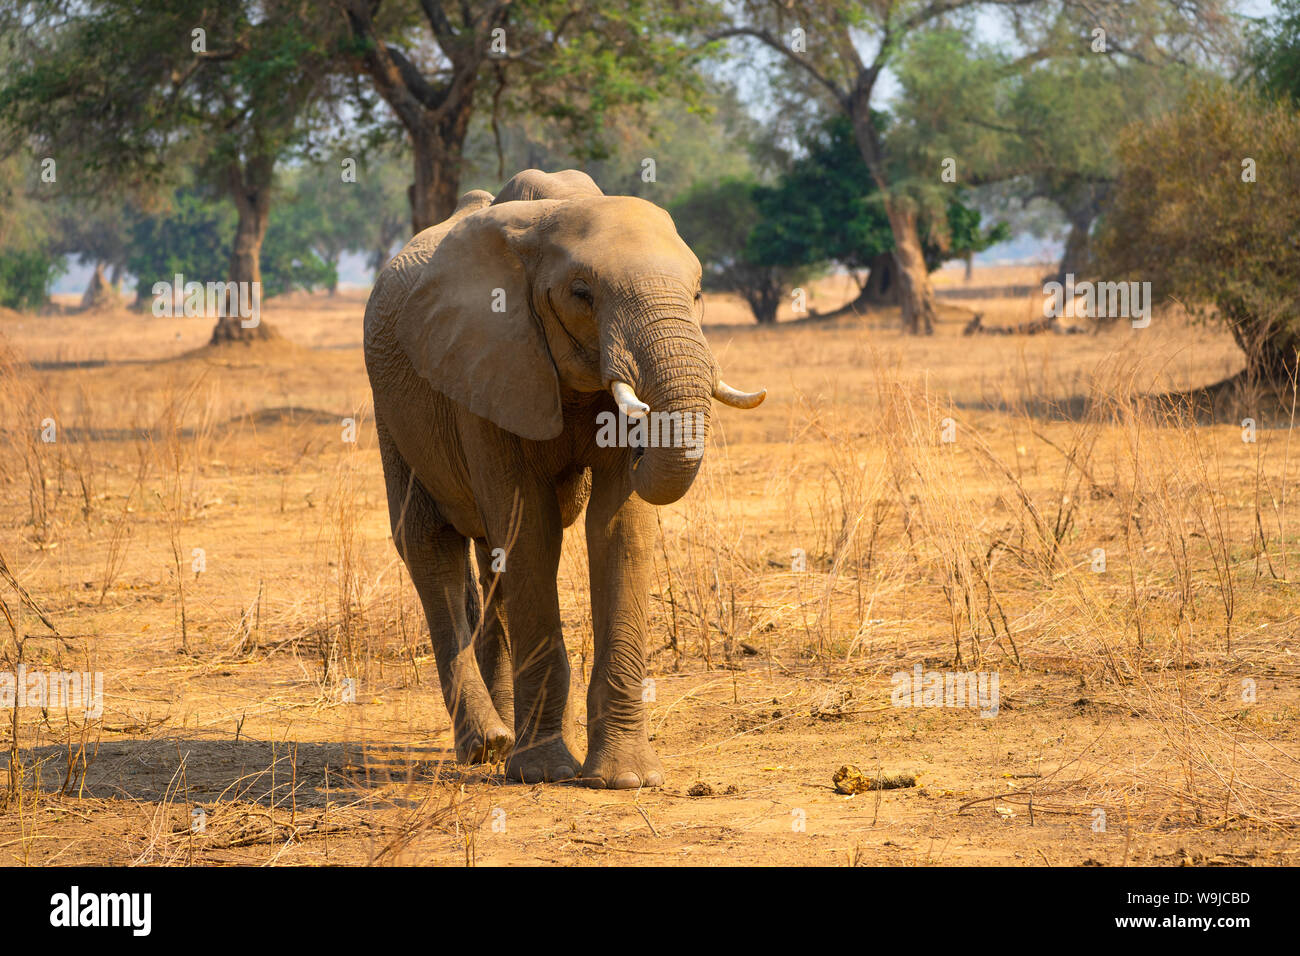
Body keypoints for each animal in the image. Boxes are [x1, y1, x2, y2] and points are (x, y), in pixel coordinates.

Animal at [361, 167, 764, 790]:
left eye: (698, 293)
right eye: (582, 293)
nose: (644, 434)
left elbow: (618, 528)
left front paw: (625, 780)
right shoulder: (487, 362)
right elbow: (532, 531)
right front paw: (545, 773)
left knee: (489, 559)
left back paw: (506, 738)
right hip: (393, 408)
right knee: (430, 545)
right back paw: (487, 746)